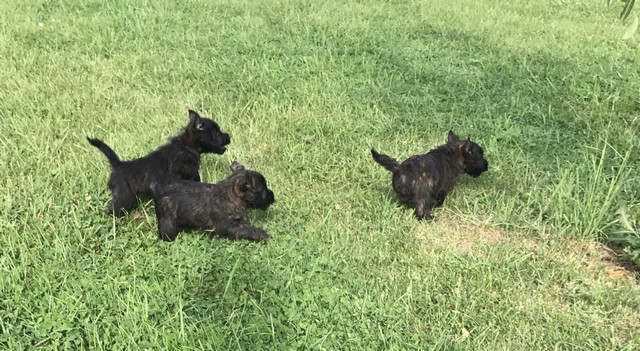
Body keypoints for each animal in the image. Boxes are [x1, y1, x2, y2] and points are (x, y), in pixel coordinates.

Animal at [87, 110, 231, 216]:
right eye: (216, 132)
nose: (229, 136)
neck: (187, 146)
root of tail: (118, 164)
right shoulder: (190, 176)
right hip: (123, 198)